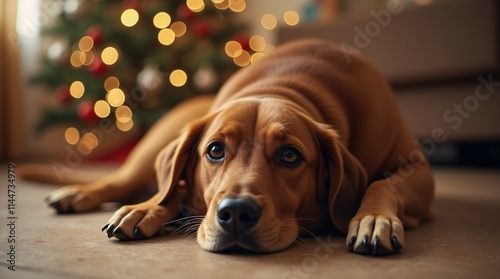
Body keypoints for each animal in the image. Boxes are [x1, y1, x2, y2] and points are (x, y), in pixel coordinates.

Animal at [32, 39, 434, 256]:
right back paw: (85, 196)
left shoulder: (419, 169)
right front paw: (148, 210)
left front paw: (373, 217)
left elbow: (382, 183)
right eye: (215, 151)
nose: (237, 212)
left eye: (290, 155)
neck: (285, 86)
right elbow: (174, 192)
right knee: (125, 182)